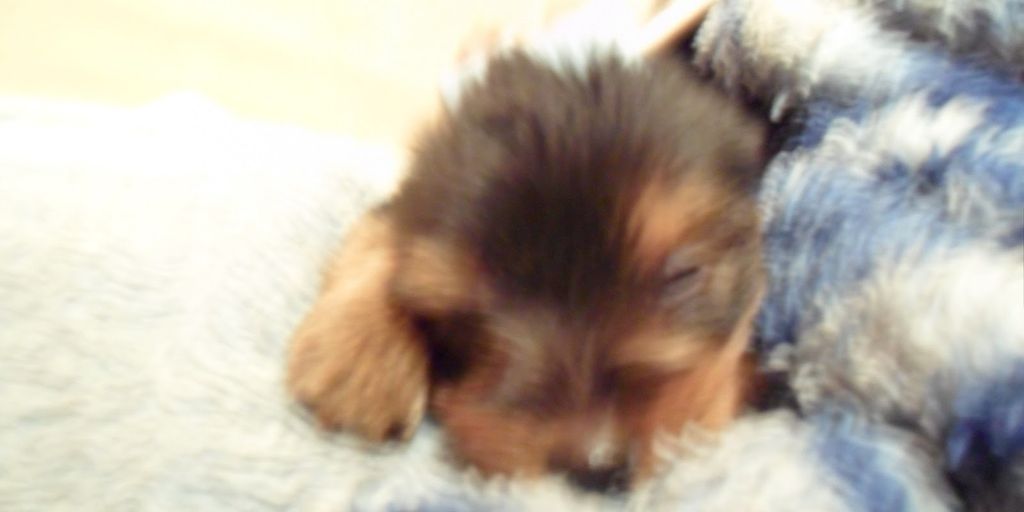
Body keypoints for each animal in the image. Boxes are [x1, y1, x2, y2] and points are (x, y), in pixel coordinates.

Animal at [284, 49, 765, 489]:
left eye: (685, 274)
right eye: (464, 318)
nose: (595, 462)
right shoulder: (405, 203)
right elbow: (381, 229)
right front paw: (359, 354)